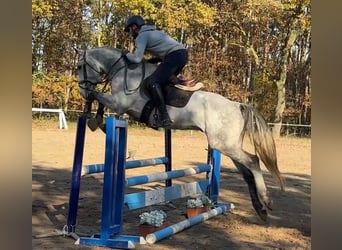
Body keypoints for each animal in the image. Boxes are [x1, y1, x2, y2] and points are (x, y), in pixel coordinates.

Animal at [75, 46, 286, 220]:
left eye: (79, 67)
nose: (82, 91)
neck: (122, 69)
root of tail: (238, 105)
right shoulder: (118, 104)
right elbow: (99, 100)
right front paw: (95, 120)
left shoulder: (120, 103)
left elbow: (98, 96)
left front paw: (94, 118)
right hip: (228, 146)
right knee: (247, 173)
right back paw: (260, 209)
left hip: (223, 144)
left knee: (254, 161)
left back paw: (266, 200)